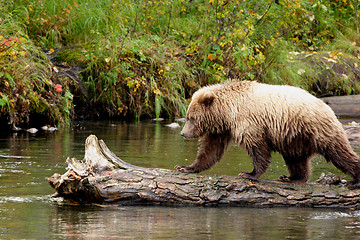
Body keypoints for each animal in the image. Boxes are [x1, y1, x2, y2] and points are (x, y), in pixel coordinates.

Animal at [176, 79, 360, 188]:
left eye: (191, 118)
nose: (183, 134)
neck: (228, 112)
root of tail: (326, 105)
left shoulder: (249, 122)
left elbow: (258, 148)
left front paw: (249, 173)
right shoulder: (222, 129)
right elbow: (210, 150)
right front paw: (185, 167)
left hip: (315, 128)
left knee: (338, 151)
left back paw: (355, 180)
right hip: (293, 137)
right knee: (296, 159)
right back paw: (292, 177)